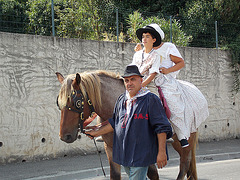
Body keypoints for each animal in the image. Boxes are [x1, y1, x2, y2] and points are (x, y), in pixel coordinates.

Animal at [56, 70, 199, 180]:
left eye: (77, 103)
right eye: (58, 102)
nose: (64, 136)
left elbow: (151, 173)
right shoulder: (111, 148)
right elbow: (115, 175)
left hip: (186, 140)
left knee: (184, 163)